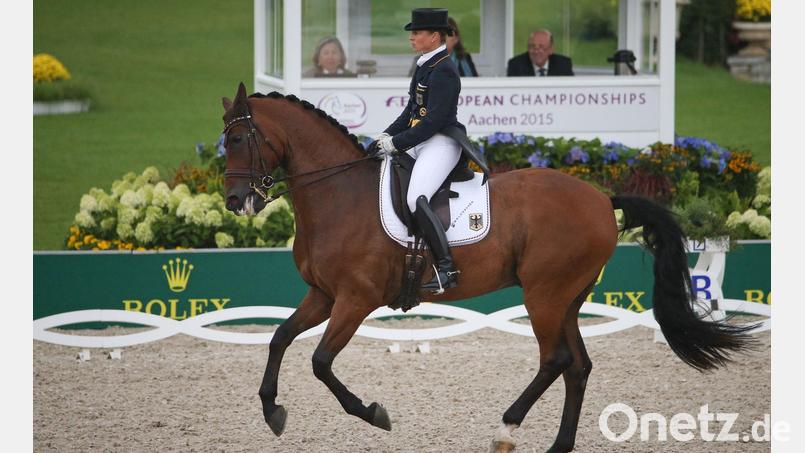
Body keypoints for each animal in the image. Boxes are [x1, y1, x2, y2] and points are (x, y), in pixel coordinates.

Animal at [220, 83, 756, 452]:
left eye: (242, 137)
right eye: (224, 140)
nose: (235, 201)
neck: (338, 196)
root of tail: (603, 198)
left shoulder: (355, 299)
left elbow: (320, 361)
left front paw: (373, 414)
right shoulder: (323, 295)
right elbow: (279, 338)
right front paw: (272, 411)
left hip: (544, 294)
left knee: (555, 359)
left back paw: (506, 428)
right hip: (567, 297)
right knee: (578, 365)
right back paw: (558, 445)